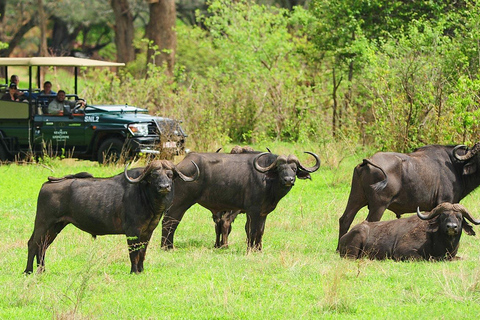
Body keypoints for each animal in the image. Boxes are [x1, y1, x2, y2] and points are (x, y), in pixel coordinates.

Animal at [24, 161, 199, 274]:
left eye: (170, 175)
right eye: (154, 175)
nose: (164, 187)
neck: (146, 197)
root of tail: (47, 184)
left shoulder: (147, 232)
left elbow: (142, 251)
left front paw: (141, 270)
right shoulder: (132, 231)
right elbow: (133, 252)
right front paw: (134, 271)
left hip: (56, 226)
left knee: (42, 246)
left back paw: (42, 270)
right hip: (42, 223)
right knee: (33, 243)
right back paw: (28, 271)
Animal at [159, 150, 320, 250]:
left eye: (294, 168)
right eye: (280, 168)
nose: (288, 180)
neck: (267, 180)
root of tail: (176, 169)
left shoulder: (263, 213)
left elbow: (260, 231)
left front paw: (259, 249)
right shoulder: (252, 211)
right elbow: (251, 230)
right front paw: (250, 249)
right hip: (180, 202)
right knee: (170, 222)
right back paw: (167, 247)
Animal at [338, 142, 480, 248]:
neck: (455, 167)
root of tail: (367, 161)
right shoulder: (444, 202)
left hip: (355, 198)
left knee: (345, 219)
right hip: (378, 206)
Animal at [338, 204, 480, 262]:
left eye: (459, 217)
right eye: (443, 216)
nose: (452, 227)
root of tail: (343, 238)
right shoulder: (403, 252)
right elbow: (424, 258)